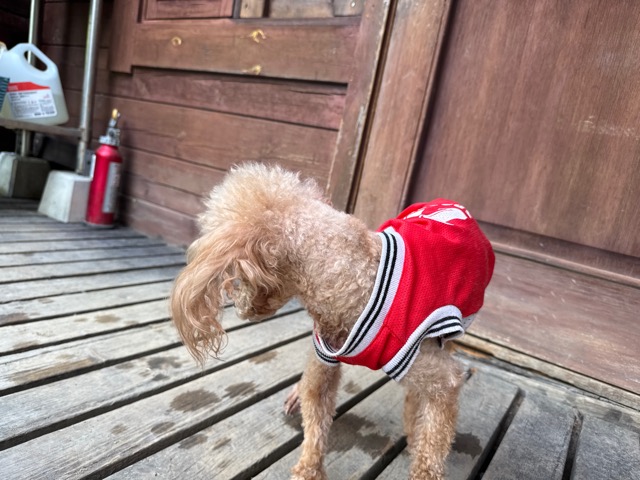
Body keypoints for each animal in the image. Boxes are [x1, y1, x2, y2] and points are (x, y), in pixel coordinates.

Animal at [170, 163, 495, 479]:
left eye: (235, 274)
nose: (239, 307)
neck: (352, 279)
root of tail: (448, 203)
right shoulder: (323, 357)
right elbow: (315, 415)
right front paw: (308, 469)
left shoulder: (440, 379)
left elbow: (432, 444)